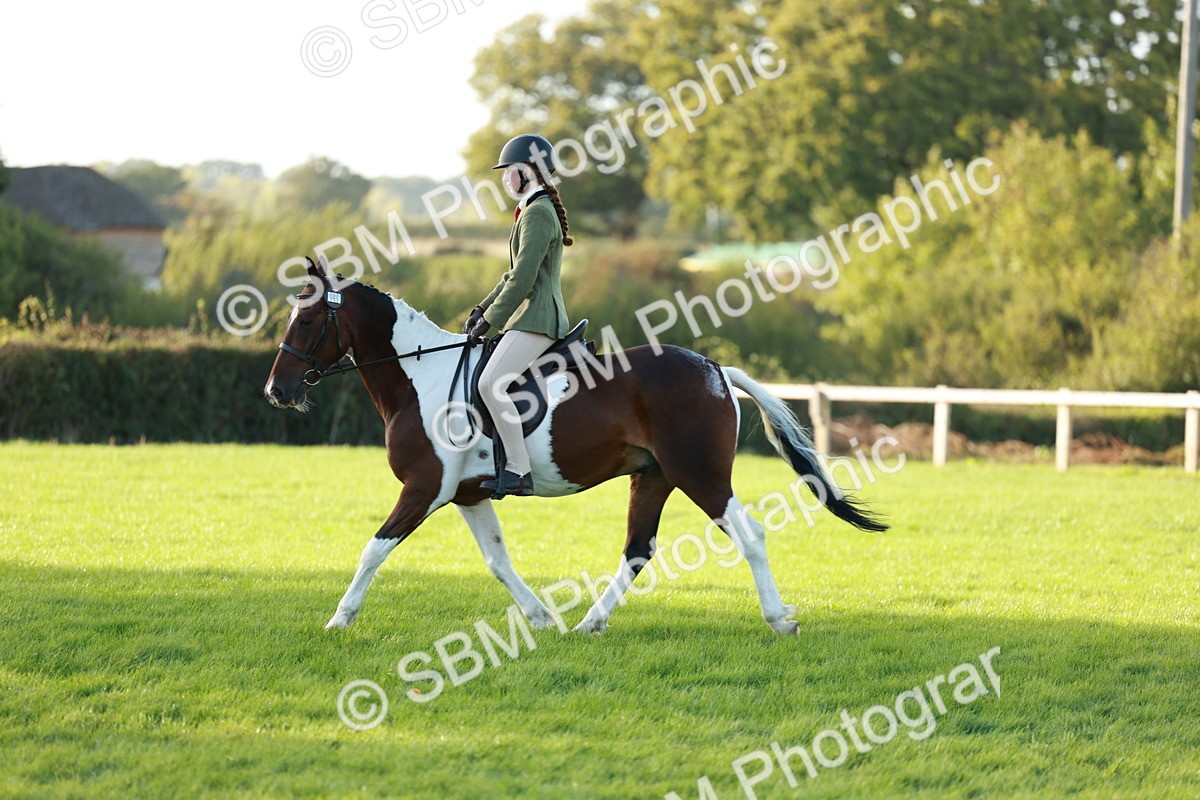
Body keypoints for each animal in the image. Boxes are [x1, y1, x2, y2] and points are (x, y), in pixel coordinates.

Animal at [264, 259, 887, 635]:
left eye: (309, 320)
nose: (276, 391)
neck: (425, 378)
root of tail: (714, 368)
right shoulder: (467, 495)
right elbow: (497, 561)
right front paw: (539, 617)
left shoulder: (424, 489)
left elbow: (374, 549)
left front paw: (339, 620)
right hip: (653, 477)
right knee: (637, 549)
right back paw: (590, 622)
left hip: (700, 475)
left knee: (748, 535)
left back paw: (779, 619)